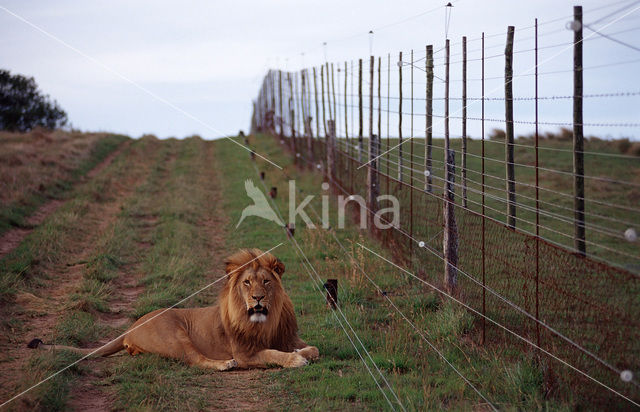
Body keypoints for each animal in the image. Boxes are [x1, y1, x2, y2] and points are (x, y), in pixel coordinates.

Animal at [28, 248, 320, 370]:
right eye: (247, 282)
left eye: (266, 282)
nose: (257, 298)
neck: (266, 320)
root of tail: (129, 328)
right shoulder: (246, 352)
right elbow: (272, 354)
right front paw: (295, 359)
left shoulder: (287, 336)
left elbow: (313, 348)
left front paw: (301, 352)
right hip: (175, 335)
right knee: (195, 360)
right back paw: (224, 364)